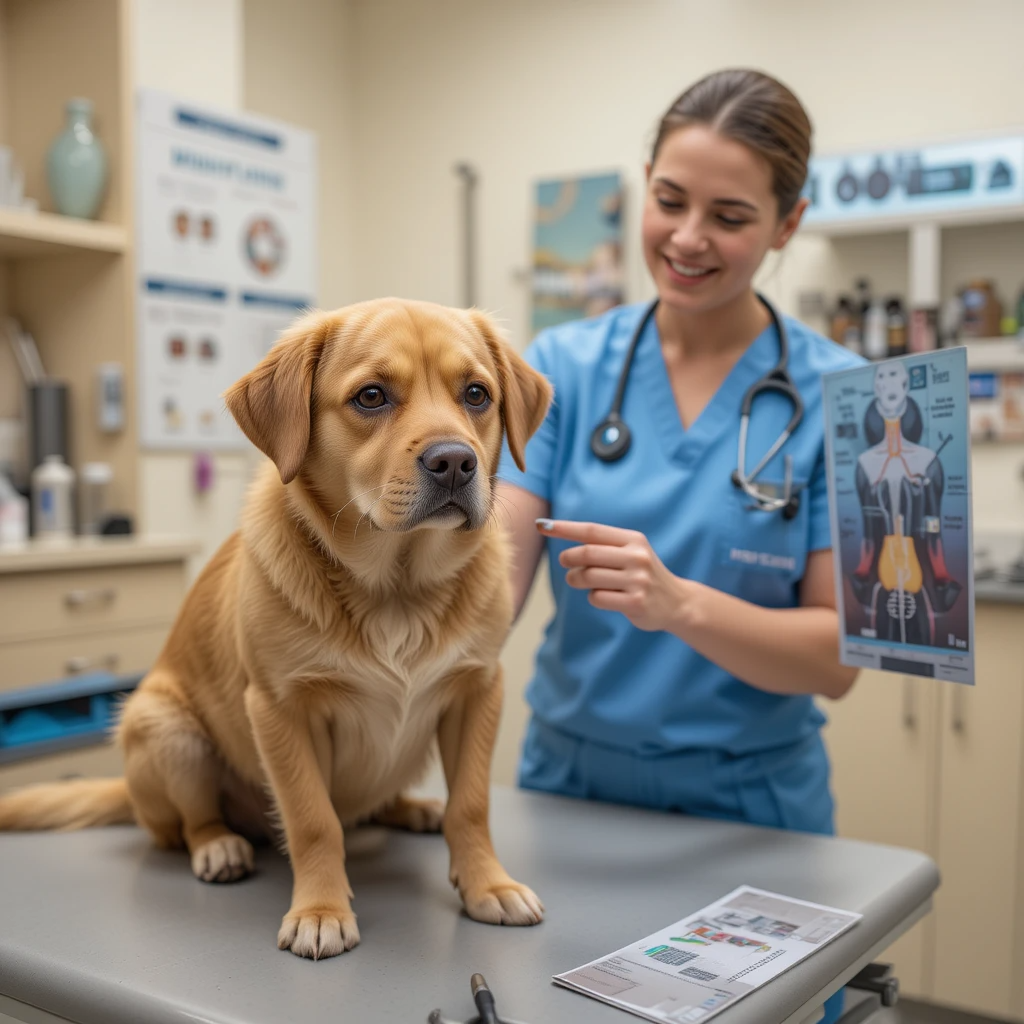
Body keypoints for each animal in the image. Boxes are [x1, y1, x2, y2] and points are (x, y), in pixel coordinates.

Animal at [0, 299, 552, 958]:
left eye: (476, 394)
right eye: (371, 396)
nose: (455, 462)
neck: (397, 589)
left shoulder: (476, 692)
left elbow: (470, 806)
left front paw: (487, 886)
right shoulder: (281, 710)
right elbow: (314, 821)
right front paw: (320, 909)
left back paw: (411, 809)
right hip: (163, 727)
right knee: (189, 825)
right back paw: (219, 846)